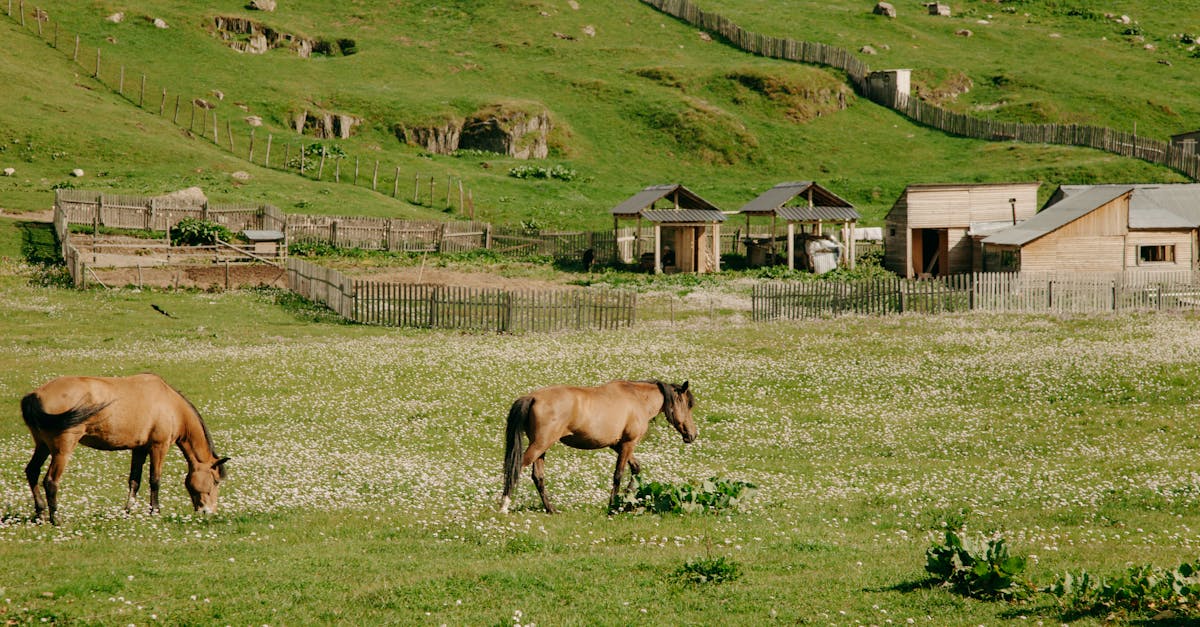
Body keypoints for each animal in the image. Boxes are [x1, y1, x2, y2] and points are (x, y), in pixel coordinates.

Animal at [21, 369, 230, 521]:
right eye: (215, 481)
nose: (209, 512)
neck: (171, 405)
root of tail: (35, 395)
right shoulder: (158, 446)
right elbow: (155, 480)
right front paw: (155, 511)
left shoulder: (139, 449)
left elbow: (134, 481)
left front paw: (127, 511)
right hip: (62, 450)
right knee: (50, 481)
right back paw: (55, 519)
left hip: (42, 446)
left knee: (32, 472)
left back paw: (40, 513)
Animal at [501, 377, 700, 509]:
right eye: (688, 405)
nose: (693, 434)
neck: (637, 398)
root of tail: (533, 397)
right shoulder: (628, 443)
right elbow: (618, 474)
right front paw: (613, 505)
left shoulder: (617, 444)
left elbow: (635, 469)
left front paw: (625, 498)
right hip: (540, 445)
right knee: (515, 468)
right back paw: (504, 507)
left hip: (541, 448)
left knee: (538, 477)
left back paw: (551, 509)